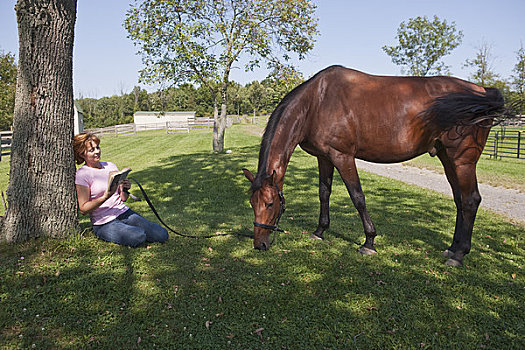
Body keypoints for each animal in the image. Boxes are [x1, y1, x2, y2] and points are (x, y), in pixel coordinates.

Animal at [244, 64, 506, 266]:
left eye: (270, 203)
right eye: (252, 203)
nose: (260, 245)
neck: (316, 102)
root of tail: (482, 91)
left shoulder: (342, 157)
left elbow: (357, 197)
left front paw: (369, 241)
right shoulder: (324, 158)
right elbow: (324, 193)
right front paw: (320, 231)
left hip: (462, 160)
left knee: (471, 200)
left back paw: (458, 255)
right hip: (447, 157)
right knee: (460, 201)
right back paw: (452, 248)